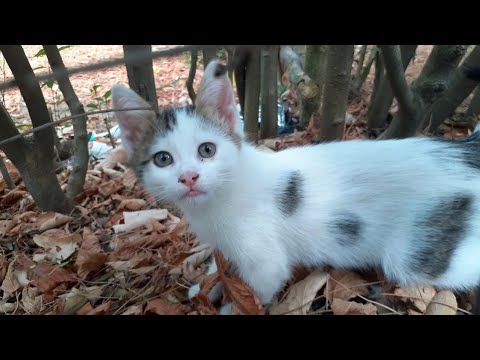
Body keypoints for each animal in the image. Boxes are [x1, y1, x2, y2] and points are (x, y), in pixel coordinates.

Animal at [111, 60, 480, 314]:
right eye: (163, 159)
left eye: (207, 150)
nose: (188, 177)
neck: (220, 198)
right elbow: (224, 263)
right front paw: (208, 282)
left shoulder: (265, 260)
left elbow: (258, 287)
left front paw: (230, 305)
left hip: (416, 253)